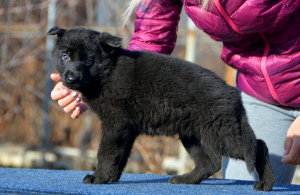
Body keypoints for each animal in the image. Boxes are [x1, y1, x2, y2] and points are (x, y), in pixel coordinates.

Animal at [48, 25, 276, 190]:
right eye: (65, 56)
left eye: (88, 60)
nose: (71, 78)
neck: (107, 72)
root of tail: (233, 95)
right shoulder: (126, 128)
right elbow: (120, 155)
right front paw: (111, 177)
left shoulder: (115, 123)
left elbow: (106, 152)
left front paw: (99, 177)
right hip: (193, 135)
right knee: (210, 163)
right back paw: (186, 179)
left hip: (220, 132)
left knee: (258, 146)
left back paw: (266, 183)